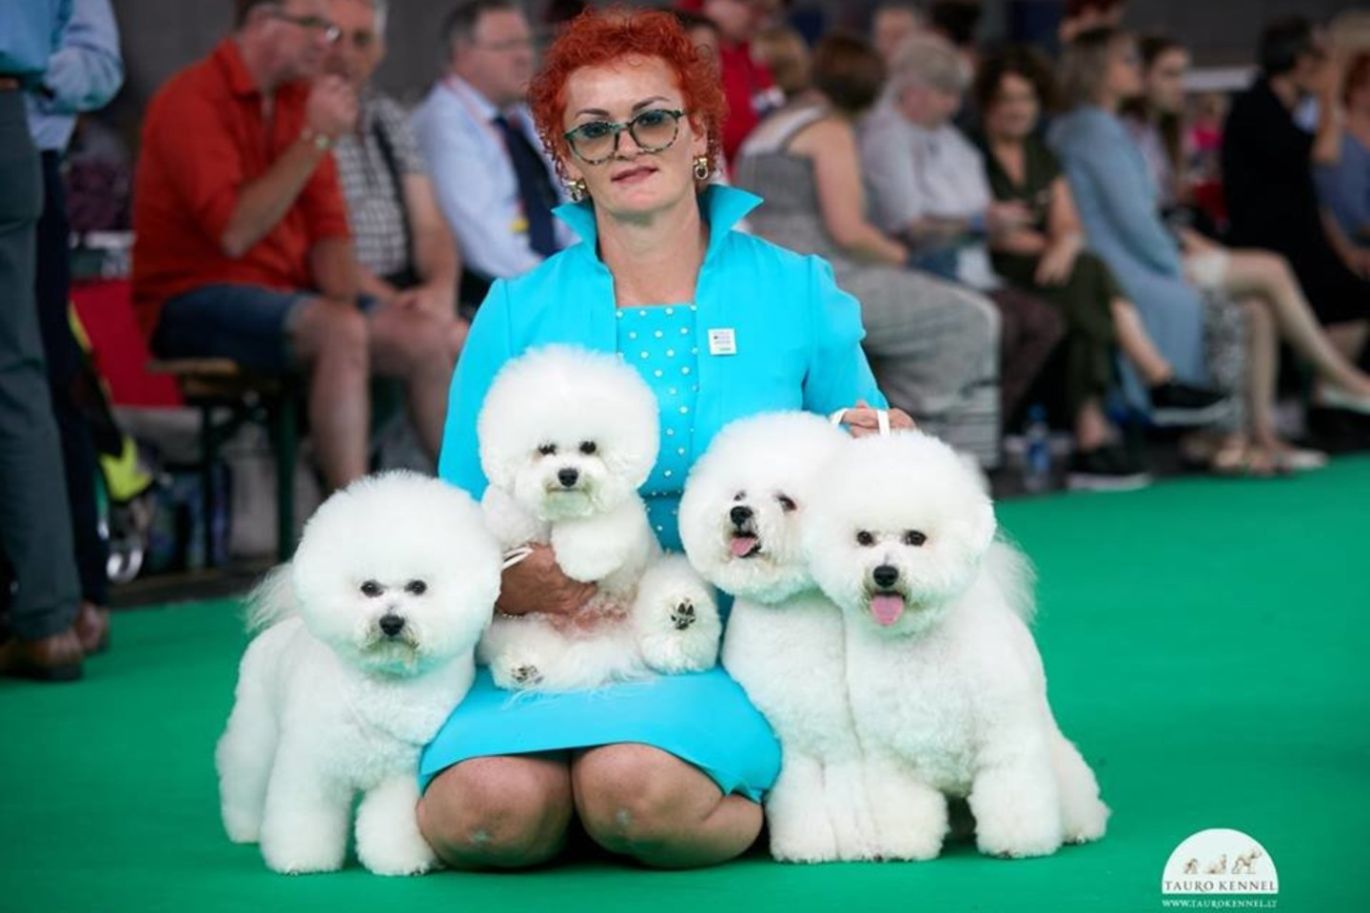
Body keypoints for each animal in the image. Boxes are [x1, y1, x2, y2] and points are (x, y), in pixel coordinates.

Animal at [219, 471, 504, 871]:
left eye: (418, 587)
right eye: (369, 588)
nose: (391, 622)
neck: (382, 686)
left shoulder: (400, 776)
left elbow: (391, 821)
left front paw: (400, 859)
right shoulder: (311, 764)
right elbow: (303, 814)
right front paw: (301, 858)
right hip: (256, 725)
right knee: (244, 775)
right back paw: (244, 828)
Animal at [476, 345, 723, 685]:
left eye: (589, 446)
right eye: (546, 448)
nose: (568, 474)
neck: (561, 511)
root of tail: (602, 639)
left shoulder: (615, 514)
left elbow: (595, 533)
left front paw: (580, 563)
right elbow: (508, 514)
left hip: (659, 582)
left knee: (679, 640)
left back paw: (682, 615)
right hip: (524, 626)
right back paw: (522, 667)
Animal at [676, 411, 876, 860]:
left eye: (785, 501)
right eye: (738, 493)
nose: (739, 512)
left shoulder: (848, 744)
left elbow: (853, 797)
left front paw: (862, 842)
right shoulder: (790, 740)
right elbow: (799, 797)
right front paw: (805, 845)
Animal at [800, 430, 1112, 855]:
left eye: (916, 538)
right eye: (863, 538)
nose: (884, 573)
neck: (920, 643)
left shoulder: (1006, 742)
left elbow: (1015, 794)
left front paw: (1017, 842)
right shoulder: (890, 757)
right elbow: (902, 805)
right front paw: (905, 846)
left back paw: (1080, 826)